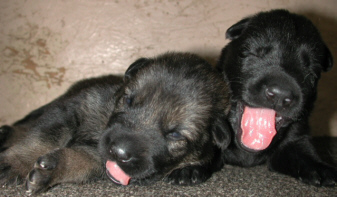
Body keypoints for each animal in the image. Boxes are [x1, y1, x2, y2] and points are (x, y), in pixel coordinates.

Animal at [0, 51, 231, 195]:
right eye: (128, 101)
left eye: (175, 134)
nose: (118, 152)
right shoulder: (73, 107)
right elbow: (43, 136)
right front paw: (15, 162)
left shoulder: (98, 156)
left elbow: (79, 160)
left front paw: (51, 171)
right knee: (26, 125)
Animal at [215, 9, 336, 186]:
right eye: (252, 53)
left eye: (311, 73)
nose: (280, 94)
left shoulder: (296, 136)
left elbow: (303, 151)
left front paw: (320, 168)